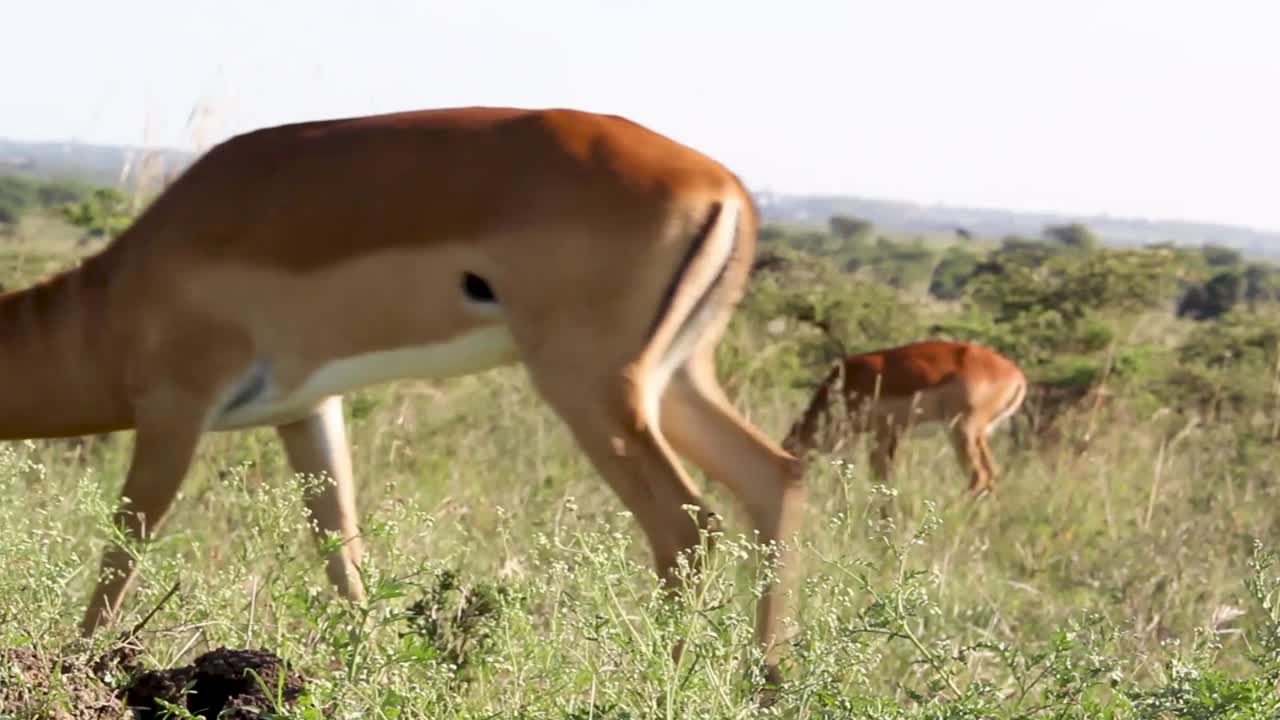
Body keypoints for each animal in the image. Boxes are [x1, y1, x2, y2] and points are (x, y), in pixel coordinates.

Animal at [0, 107, 804, 680]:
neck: (111, 303)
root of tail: (726, 188)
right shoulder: (305, 411)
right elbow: (342, 552)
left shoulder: (175, 410)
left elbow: (123, 544)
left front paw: (76, 665)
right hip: (675, 379)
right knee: (774, 475)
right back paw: (762, 680)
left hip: (593, 387)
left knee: (688, 526)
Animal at [782, 339, 1026, 495]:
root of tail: (1017, 376)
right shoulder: (892, 437)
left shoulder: (880, 435)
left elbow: (879, 479)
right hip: (978, 436)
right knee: (992, 475)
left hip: (962, 431)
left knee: (979, 476)